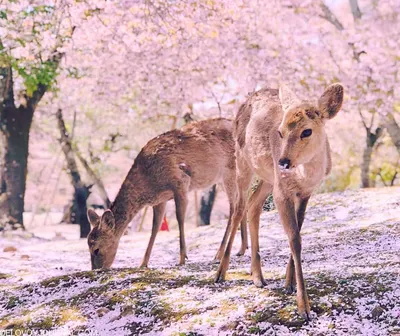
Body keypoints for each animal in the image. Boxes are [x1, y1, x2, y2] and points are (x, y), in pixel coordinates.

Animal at [87, 118, 248, 270]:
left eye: (96, 249)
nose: (96, 269)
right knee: (242, 202)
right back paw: (242, 248)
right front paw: (143, 263)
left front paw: (182, 258)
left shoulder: (180, 182)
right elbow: (155, 226)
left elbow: (179, 218)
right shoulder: (160, 200)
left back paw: (218, 254)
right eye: (88, 246)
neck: (148, 182)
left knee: (234, 207)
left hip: (230, 171)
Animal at [216, 84, 344, 320]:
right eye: (280, 132)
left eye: (307, 131)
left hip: (268, 178)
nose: (283, 161)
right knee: (239, 207)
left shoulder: (305, 193)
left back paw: (257, 276)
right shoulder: (282, 192)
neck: (304, 177)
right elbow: (294, 239)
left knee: (253, 205)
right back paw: (221, 272)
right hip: (242, 162)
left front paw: (289, 283)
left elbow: (298, 234)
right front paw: (304, 307)